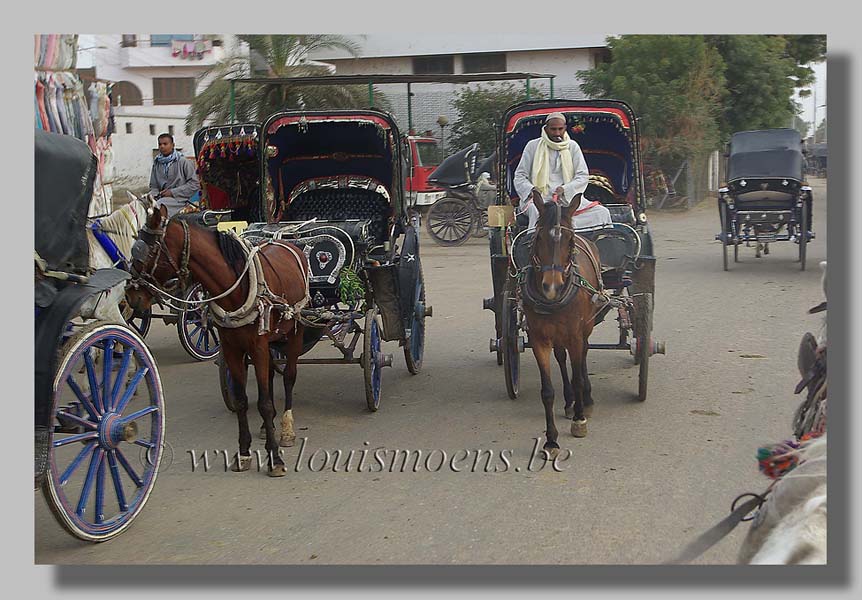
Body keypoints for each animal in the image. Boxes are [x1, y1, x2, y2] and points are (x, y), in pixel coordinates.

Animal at [125, 203, 308, 478]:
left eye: (150, 249)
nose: (131, 295)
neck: (236, 288)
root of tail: (287, 241)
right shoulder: (233, 349)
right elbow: (242, 401)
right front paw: (244, 453)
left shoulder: (257, 346)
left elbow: (264, 403)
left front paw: (275, 458)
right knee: (272, 375)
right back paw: (268, 428)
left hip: (294, 331)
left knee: (288, 377)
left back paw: (286, 427)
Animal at [524, 191, 604, 454]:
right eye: (538, 237)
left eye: (569, 240)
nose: (552, 286)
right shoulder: (539, 338)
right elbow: (547, 391)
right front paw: (551, 439)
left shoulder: (576, 334)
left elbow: (578, 374)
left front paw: (580, 420)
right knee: (561, 357)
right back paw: (569, 401)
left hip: (585, 328)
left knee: (583, 356)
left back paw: (584, 400)